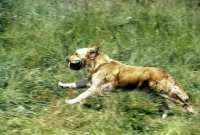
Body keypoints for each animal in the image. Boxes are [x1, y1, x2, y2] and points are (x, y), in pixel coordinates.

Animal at [58, 45, 196, 117]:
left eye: (76, 54)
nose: (66, 59)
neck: (99, 64)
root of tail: (165, 72)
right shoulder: (89, 83)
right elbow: (74, 84)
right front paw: (63, 85)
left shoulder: (94, 88)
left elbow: (81, 95)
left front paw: (70, 102)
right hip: (153, 95)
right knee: (166, 107)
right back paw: (163, 117)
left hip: (167, 93)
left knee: (183, 102)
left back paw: (192, 112)